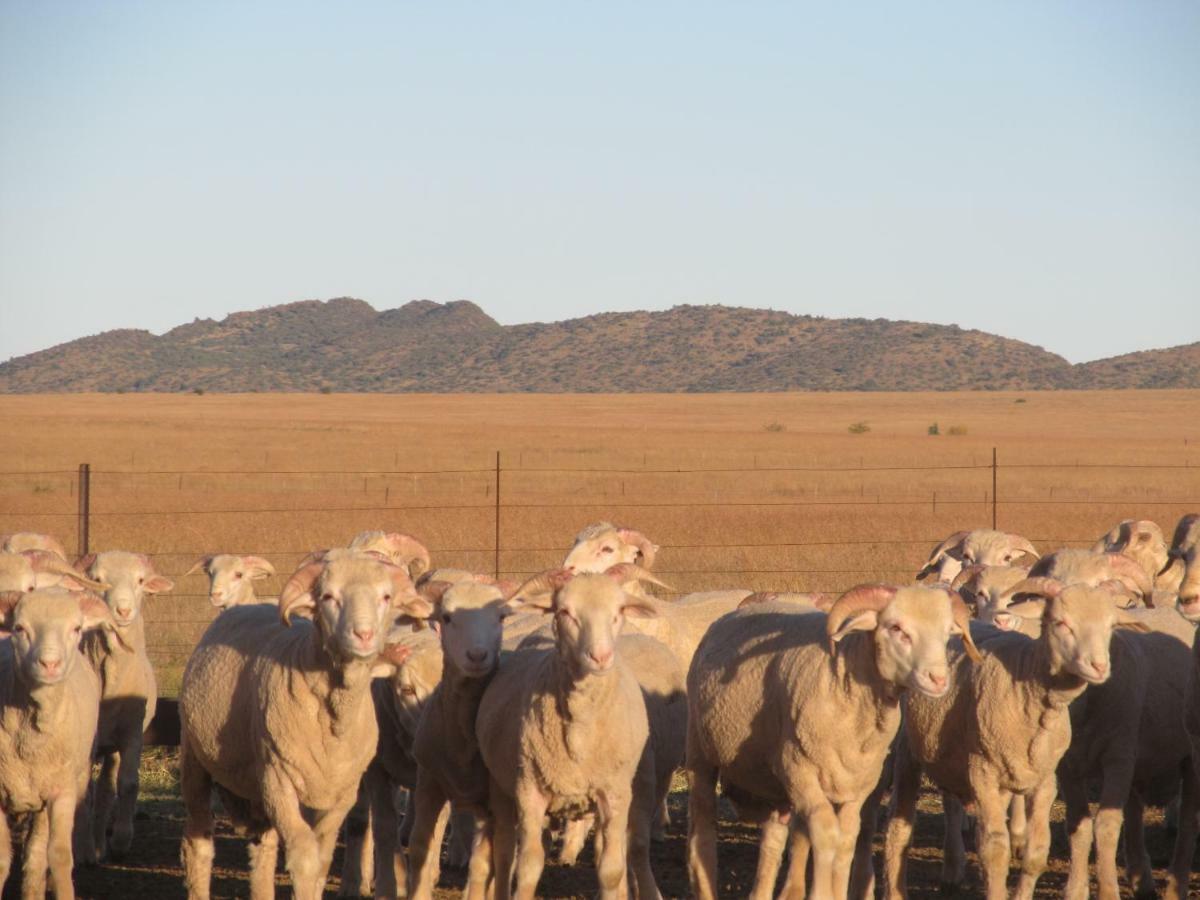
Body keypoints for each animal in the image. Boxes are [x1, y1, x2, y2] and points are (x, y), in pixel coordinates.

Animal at [0, 588, 112, 897]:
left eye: (76, 628)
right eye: (19, 628)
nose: (49, 664)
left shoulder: (62, 792)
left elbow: (60, 857)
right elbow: (1, 860)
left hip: (69, 781)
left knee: (37, 856)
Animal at [74, 549, 174, 859]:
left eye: (140, 581)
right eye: (97, 580)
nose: (123, 611)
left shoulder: (132, 733)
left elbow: (127, 784)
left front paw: (120, 839)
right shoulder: (88, 738)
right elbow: (86, 790)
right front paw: (83, 849)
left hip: (113, 747)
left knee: (108, 788)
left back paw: (100, 844)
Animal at [180, 554, 434, 900]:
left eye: (386, 596)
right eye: (327, 596)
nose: (364, 635)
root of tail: (239, 608)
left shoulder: (340, 794)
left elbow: (323, 859)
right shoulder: (279, 781)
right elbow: (304, 857)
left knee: (263, 847)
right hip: (196, 759)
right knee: (199, 841)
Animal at [475, 566, 662, 897]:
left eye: (619, 611)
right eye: (564, 612)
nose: (600, 657)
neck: (581, 730)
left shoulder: (614, 793)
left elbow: (611, 870)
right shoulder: (529, 792)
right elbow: (527, 868)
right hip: (501, 786)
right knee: (505, 851)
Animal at [686, 585, 974, 900]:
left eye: (947, 632)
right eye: (896, 628)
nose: (939, 679)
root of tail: (729, 616)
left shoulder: (859, 784)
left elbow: (847, 838)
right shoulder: (799, 771)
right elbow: (826, 834)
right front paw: (823, 892)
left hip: (774, 783)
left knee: (773, 838)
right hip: (701, 752)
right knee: (702, 830)